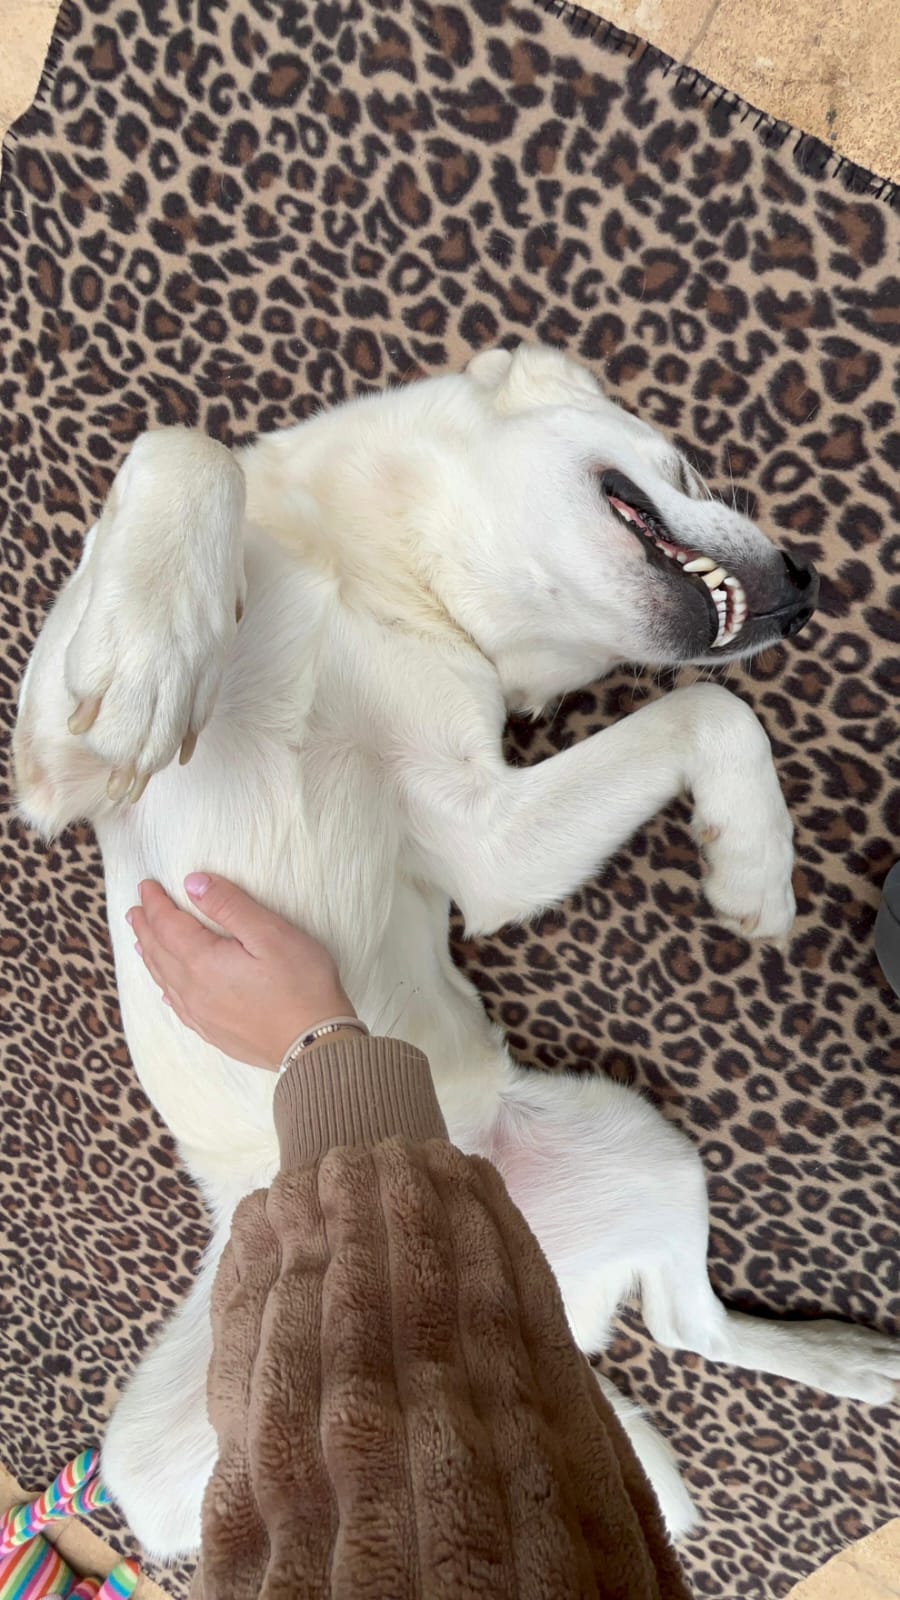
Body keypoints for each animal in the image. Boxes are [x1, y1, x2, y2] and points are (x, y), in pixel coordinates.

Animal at [14, 342, 898, 1556]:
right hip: (156, 1458)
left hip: (645, 1145)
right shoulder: (53, 765)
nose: (809, 585)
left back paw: (846, 1365)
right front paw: (153, 665)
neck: (380, 576)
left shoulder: (484, 837)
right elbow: (186, 449)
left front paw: (754, 864)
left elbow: (713, 710)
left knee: (691, 1327)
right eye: (680, 465)